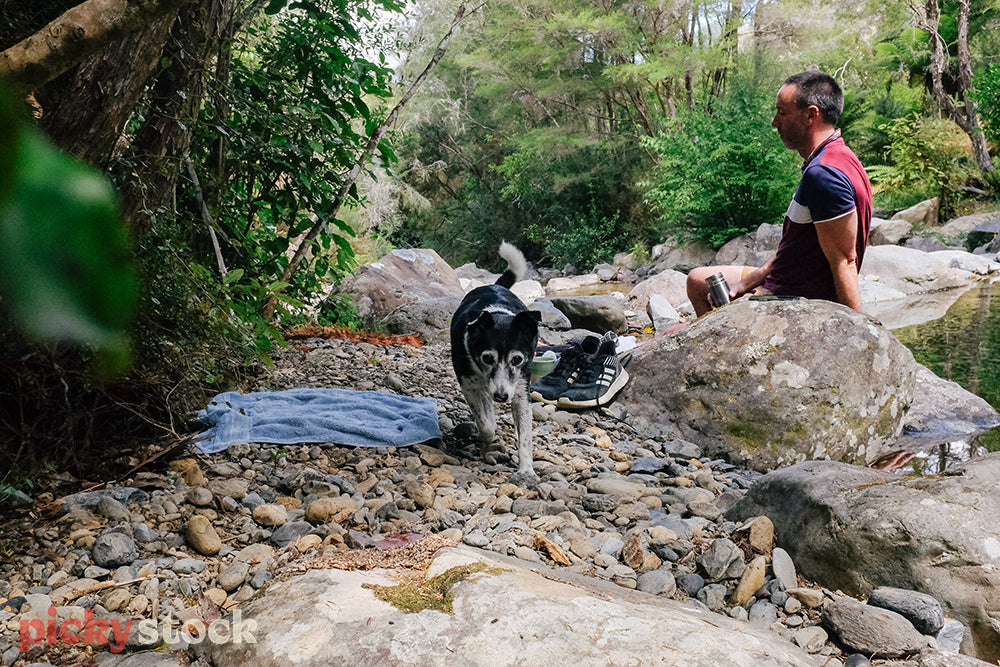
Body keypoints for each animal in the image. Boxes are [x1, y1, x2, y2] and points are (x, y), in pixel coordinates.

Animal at [452, 243, 540, 482]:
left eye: (517, 359)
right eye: (487, 358)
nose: (501, 397)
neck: (497, 313)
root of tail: (494, 285)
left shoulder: (520, 390)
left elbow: (526, 437)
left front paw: (526, 470)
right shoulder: (469, 385)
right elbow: (487, 424)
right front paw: (489, 438)